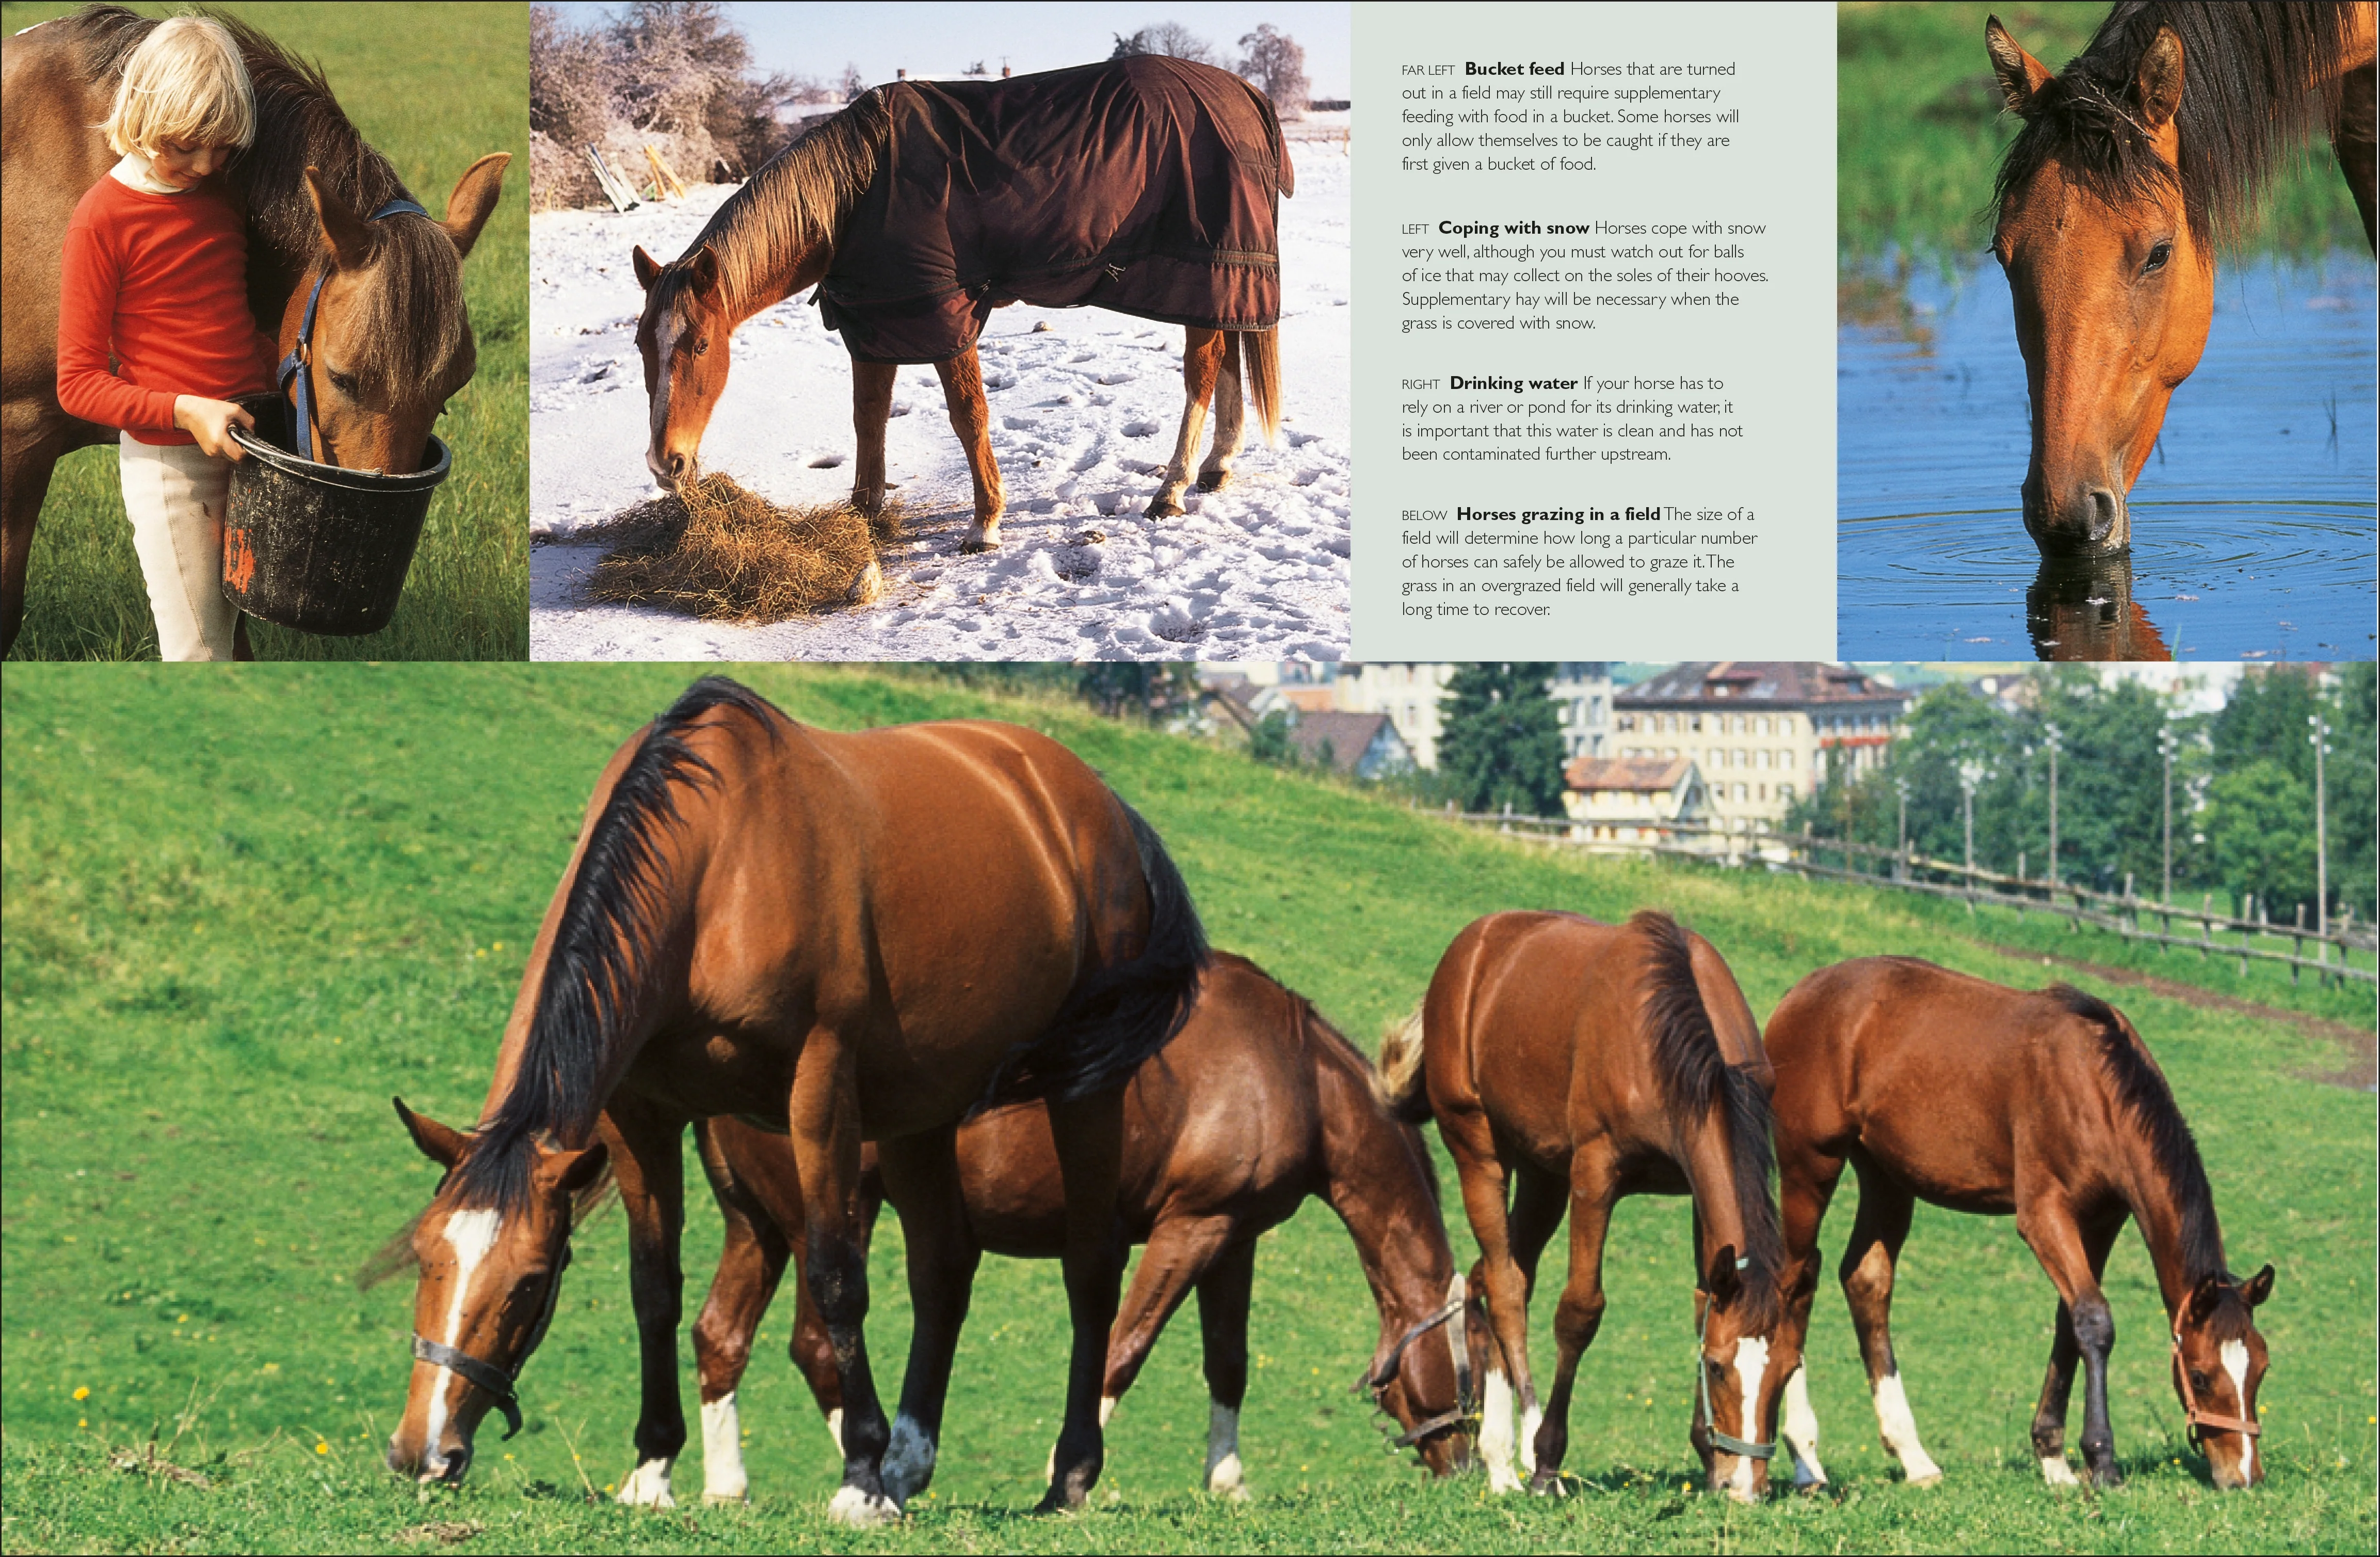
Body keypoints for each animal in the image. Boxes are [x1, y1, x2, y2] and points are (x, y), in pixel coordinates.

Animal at [376, 675, 1207, 1525]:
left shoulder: (821, 1089)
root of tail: (1096, 802)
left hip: (1085, 1090)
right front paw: (653, 1467)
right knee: (942, 1268)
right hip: (922, 1109)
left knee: (1091, 1269)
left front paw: (860, 1478)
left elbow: (837, 1279)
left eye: (531, 1280)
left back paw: (1064, 1474)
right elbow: (654, 1287)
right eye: (427, 1256)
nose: (422, 1453)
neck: (717, 866)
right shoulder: (642, 1116)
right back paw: (910, 1463)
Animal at [631, 55, 1291, 553]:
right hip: (1219, 280)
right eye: (641, 345)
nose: (666, 465)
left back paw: (1171, 489)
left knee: (1201, 373)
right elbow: (868, 417)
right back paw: (1216, 466)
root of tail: (1242, 92)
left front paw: (985, 523)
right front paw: (866, 513)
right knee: (1226, 354)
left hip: (1204, 271)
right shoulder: (877, 318)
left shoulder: (941, 311)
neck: (859, 192)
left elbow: (968, 415)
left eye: (701, 344)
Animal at [658, 952, 1487, 1507]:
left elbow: (1228, 1364)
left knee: (721, 1334)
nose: (1467, 1466)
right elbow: (1123, 1348)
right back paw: (870, 1473)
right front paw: (1066, 1474)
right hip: (828, 1217)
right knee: (814, 1343)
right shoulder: (1190, 1229)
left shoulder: (1233, 1239)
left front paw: (1227, 1479)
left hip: (758, 1226)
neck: (1289, 1072)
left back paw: (720, 1484)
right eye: (1470, 1372)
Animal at [1380, 909, 1791, 1502]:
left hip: (1542, 1175)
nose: (1746, 1487)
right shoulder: (1595, 1175)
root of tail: (1473, 945)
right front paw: (1547, 1459)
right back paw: (1523, 1454)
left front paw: (1708, 1458)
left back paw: (1499, 1459)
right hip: (1479, 1151)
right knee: (1505, 1288)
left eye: (1787, 1372)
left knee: (1498, 1274)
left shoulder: (1696, 1190)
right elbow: (1579, 1311)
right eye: (1717, 1368)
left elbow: (1702, 1302)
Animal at [1763, 957, 2274, 1492]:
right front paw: (2102, 1462)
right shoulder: (2045, 1215)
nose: (2243, 1476)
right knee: (1795, 1283)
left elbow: (2071, 1324)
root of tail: (1801, 993)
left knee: (1866, 1282)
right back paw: (1805, 1458)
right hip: (1809, 1169)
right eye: (2199, 1376)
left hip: (1886, 1178)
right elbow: (2095, 1321)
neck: (2094, 1084)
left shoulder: (2101, 1221)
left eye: (2261, 1369)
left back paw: (1913, 1457)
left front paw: (2054, 1458)